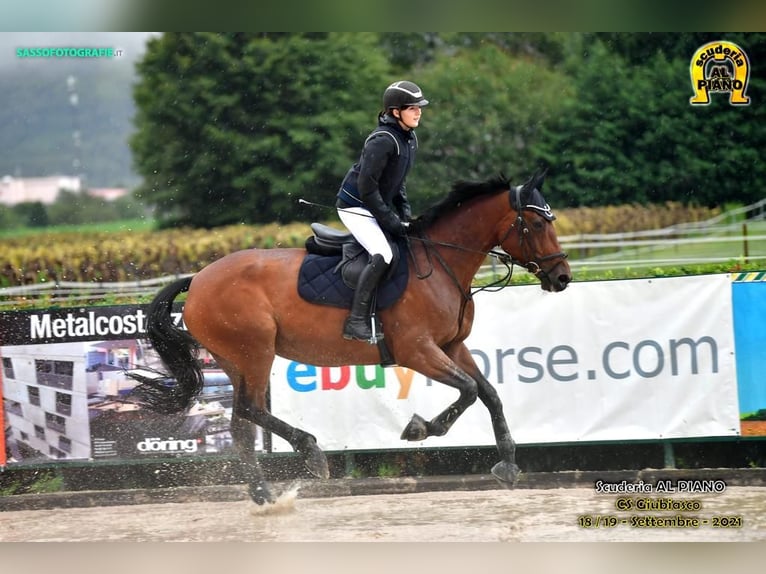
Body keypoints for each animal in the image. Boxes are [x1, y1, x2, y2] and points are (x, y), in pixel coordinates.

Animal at [132, 169, 572, 506]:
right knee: (250, 409)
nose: (563, 277)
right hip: (254, 352)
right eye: (537, 224)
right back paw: (311, 453)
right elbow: (467, 390)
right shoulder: (417, 350)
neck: (442, 263)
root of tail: (198, 279)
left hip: (234, 360)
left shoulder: (451, 346)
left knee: (241, 425)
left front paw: (509, 464)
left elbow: (488, 393)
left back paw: (264, 496)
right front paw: (419, 428)